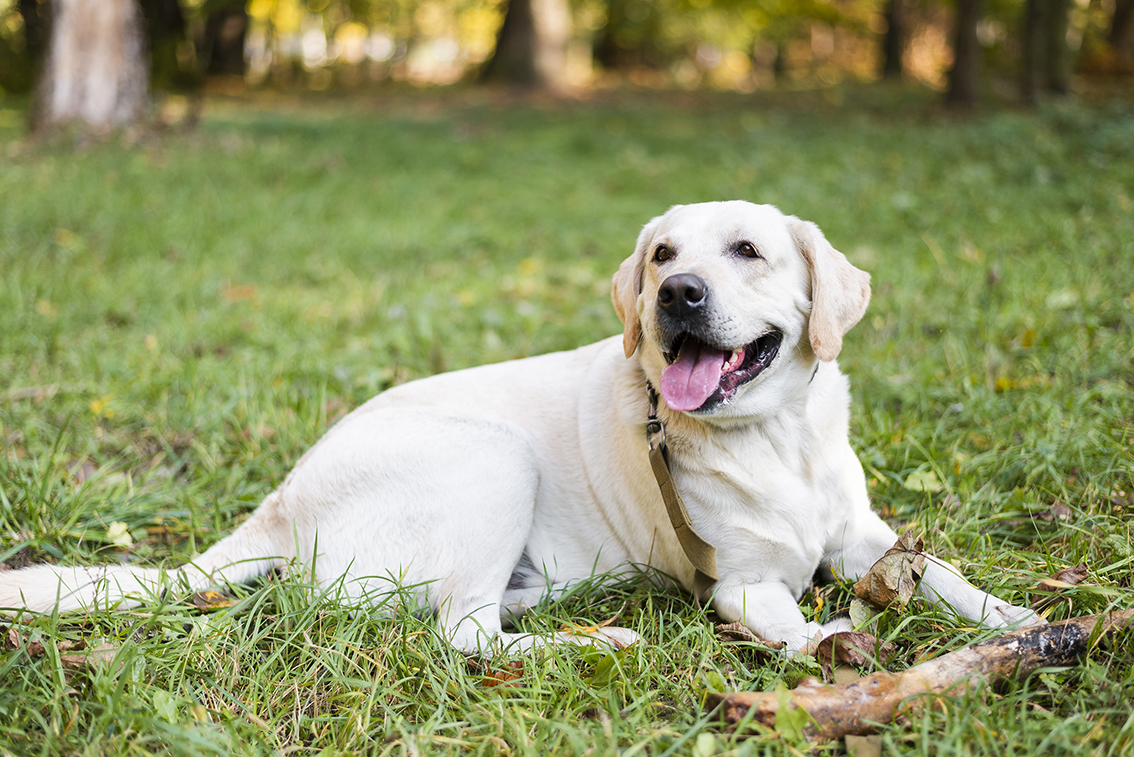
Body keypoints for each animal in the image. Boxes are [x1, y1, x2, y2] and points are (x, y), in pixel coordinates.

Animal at [2, 203, 1043, 652]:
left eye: (747, 250)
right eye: (662, 253)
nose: (676, 292)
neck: (772, 434)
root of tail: (279, 504)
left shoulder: (865, 534)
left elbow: (946, 575)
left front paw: (1023, 621)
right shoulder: (742, 584)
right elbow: (793, 627)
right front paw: (835, 648)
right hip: (490, 458)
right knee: (463, 636)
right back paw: (594, 640)